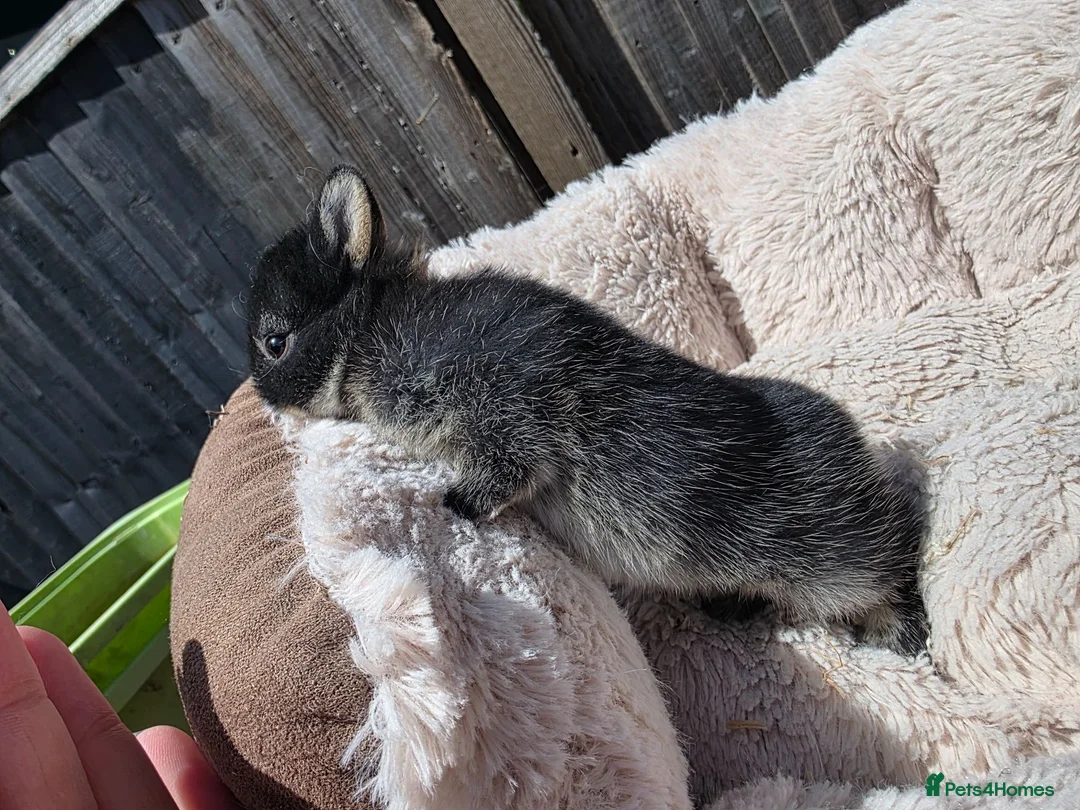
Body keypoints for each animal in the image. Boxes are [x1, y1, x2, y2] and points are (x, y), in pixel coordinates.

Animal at [247, 165, 929, 656]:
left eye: (274, 342)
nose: (260, 398)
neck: (370, 333)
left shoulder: (498, 405)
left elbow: (510, 465)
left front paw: (460, 504)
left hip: (825, 558)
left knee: (889, 562)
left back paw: (896, 633)